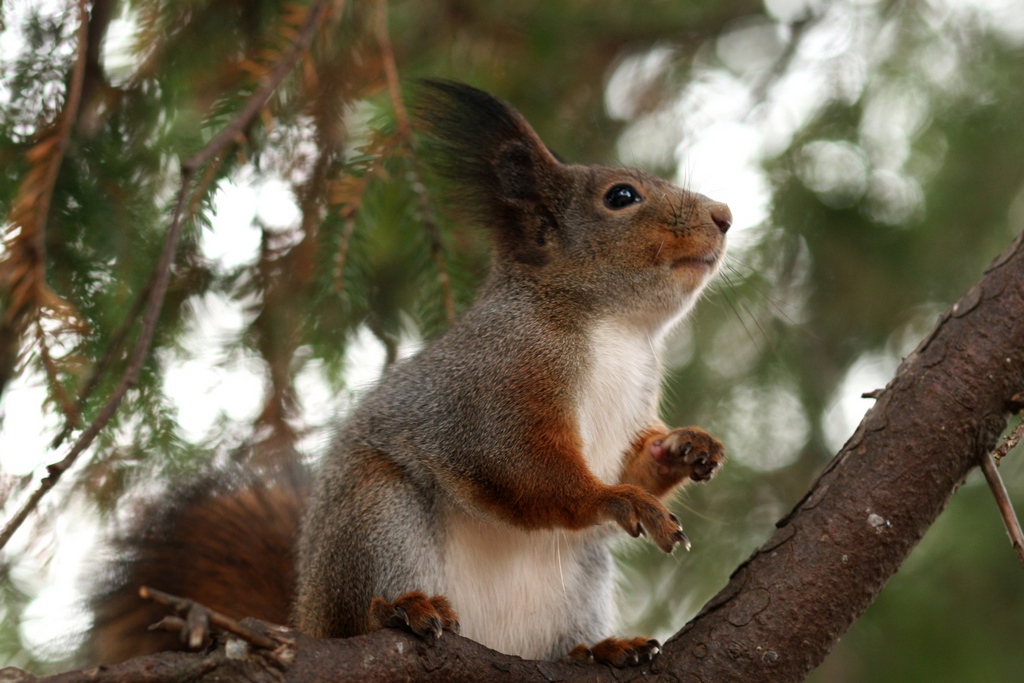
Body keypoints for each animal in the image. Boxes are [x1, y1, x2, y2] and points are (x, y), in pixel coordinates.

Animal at [86, 80, 729, 667]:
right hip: (379, 518)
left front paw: (685, 447)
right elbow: (527, 470)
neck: (617, 331)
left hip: (581, 574)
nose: (724, 215)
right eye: (621, 196)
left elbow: (634, 460)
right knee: (361, 611)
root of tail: (305, 618)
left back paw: (598, 650)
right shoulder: (499, 380)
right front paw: (621, 501)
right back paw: (399, 609)